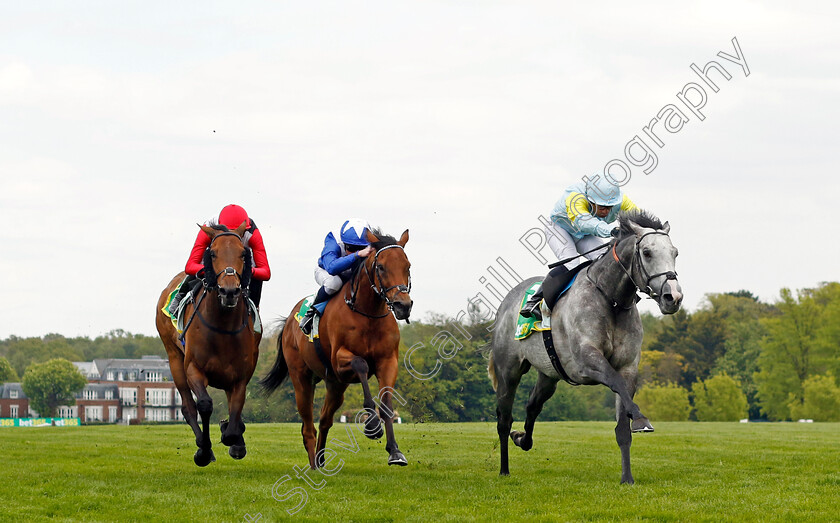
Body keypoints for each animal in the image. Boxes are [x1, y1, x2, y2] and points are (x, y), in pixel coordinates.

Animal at [488, 209, 680, 484]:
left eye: (675, 252)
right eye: (647, 252)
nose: (673, 297)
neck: (610, 300)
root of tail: (507, 302)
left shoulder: (628, 367)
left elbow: (622, 426)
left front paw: (627, 478)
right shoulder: (586, 361)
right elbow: (615, 382)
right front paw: (641, 419)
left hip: (549, 374)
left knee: (532, 406)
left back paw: (522, 438)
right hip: (508, 371)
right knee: (504, 419)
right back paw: (504, 469)